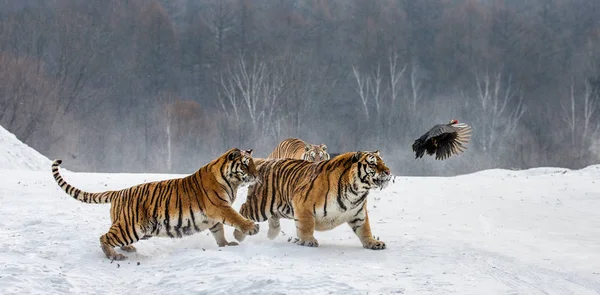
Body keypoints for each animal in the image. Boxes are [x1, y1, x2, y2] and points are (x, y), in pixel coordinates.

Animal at [49, 148, 260, 262]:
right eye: (245, 164)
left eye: (253, 163)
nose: (257, 175)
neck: (233, 182)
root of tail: (119, 192)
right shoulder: (220, 207)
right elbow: (236, 217)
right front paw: (251, 228)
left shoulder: (213, 217)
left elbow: (219, 232)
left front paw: (226, 245)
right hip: (131, 228)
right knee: (104, 237)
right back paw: (115, 256)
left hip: (133, 228)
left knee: (112, 236)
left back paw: (127, 249)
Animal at [232, 151, 392, 251]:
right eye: (373, 164)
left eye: (383, 162)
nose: (388, 172)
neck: (356, 192)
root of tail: (265, 162)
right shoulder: (302, 204)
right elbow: (306, 225)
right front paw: (309, 240)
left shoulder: (358, 214)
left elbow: (365, 229)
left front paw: (373, 243)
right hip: (261, 205)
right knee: (243, 209)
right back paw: (239, 236)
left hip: (282, 207)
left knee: (273, 217)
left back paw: (272, 233)